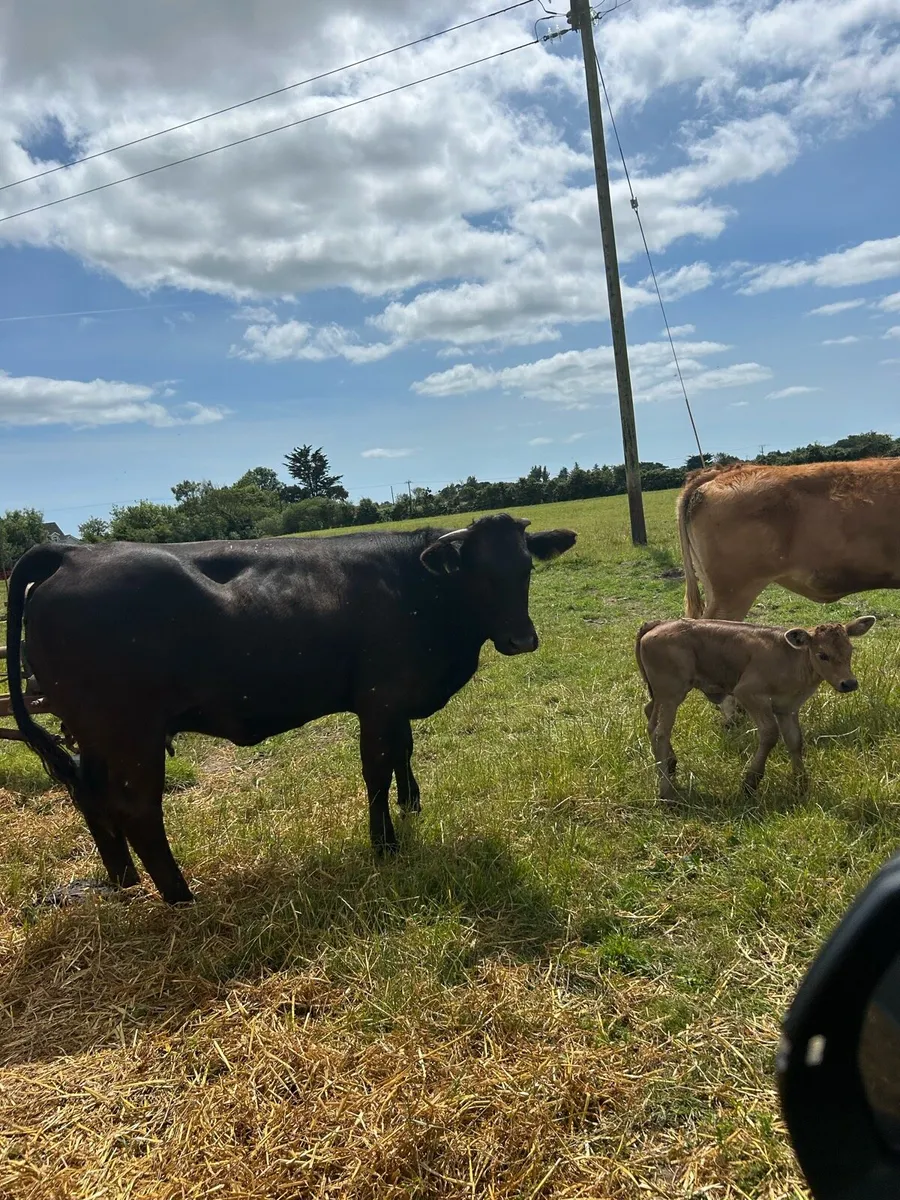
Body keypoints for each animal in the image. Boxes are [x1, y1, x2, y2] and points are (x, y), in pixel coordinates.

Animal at [5, 514, 576, 905]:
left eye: (526, 567)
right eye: (477, 573)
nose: (522, 639)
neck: (417, 587)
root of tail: (72, 552)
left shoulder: (394, 703)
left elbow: (404, 754)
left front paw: (411, 805)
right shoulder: (380, 700)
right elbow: (377, 769)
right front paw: (385, 847)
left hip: (94, 732)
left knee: (91, 797)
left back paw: (124, 881)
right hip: (131, 732)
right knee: (137, 809)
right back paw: (182, 898)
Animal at [635, 615, 876, 800]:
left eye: (850, 649)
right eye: (822, 655)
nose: (849, 683)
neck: (791, 658)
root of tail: (658, 623)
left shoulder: (787, 707)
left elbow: (795, 741)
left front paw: (801, 785)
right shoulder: (749, 694)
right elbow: (770, 734)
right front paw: (750, 783)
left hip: (660, 696)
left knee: (650, 718)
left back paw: (670, 764)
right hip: (671, 695)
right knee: (660, 733)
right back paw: (667, 791)